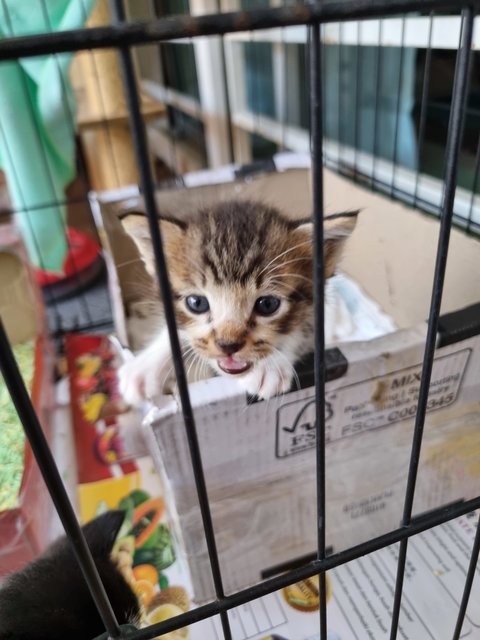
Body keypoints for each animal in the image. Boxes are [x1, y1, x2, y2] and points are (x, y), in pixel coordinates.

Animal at [118, 199, 358, 404]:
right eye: (197, 303)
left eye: (268, 305)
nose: (228, 345)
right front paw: (144, 367)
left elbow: (304, 330)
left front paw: (269, 366)